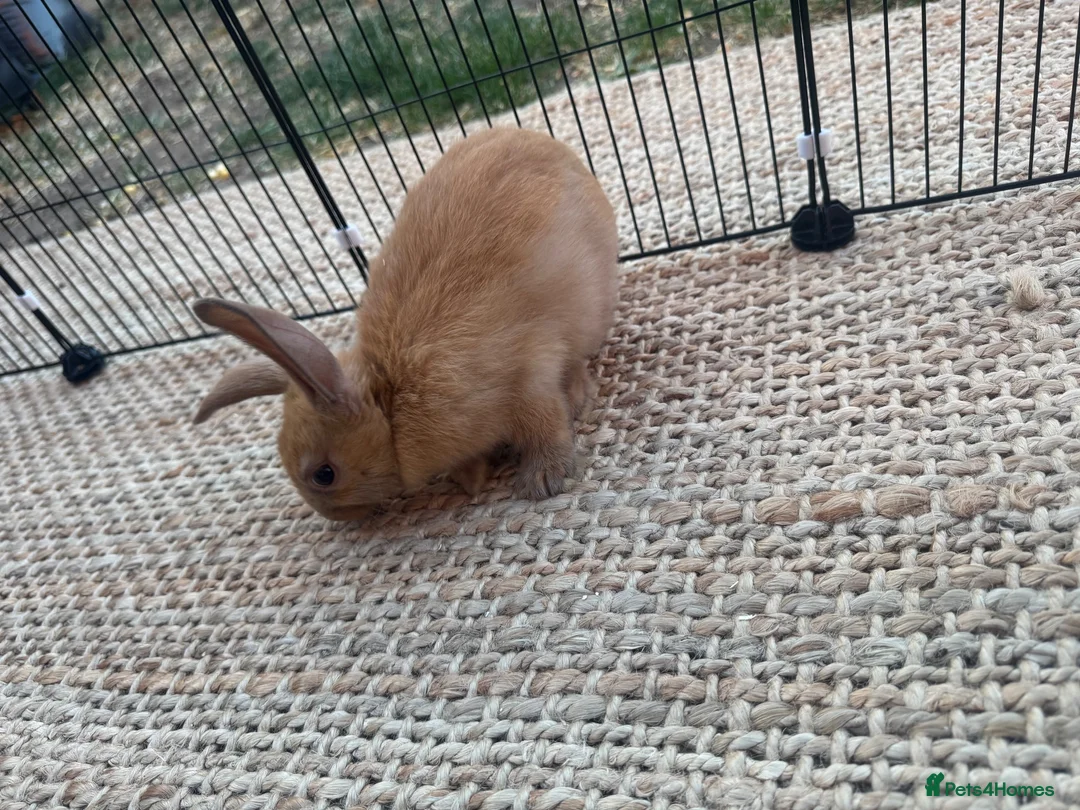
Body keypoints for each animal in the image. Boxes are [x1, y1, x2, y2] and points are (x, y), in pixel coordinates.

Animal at [191, 127, 619, 522]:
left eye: (324, 474)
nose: (333, 517)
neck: (389, 402)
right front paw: (471, 478)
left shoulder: (526, 378)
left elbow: (545, 425)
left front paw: (542, 482)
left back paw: (577, 398)